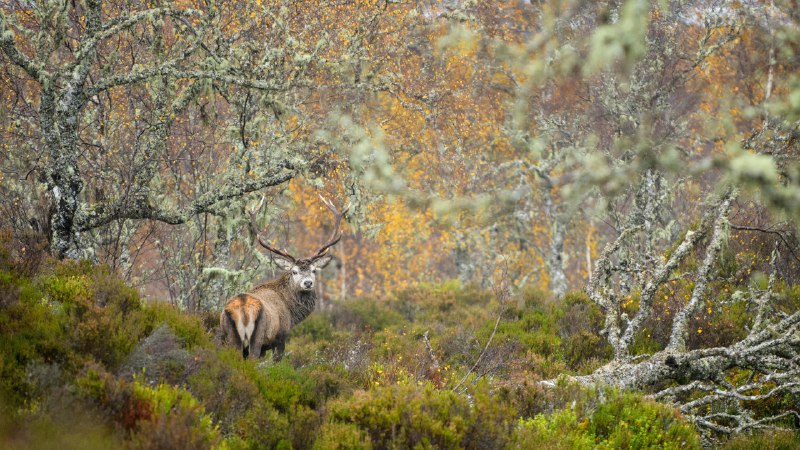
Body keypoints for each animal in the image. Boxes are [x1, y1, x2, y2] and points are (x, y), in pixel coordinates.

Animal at [220, 195, 347, 361]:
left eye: (314, 270)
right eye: (294, 271)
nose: (308, 283)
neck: (292, 314)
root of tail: (242, 308)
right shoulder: (280, 337)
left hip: (228, 337)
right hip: (256, 338)